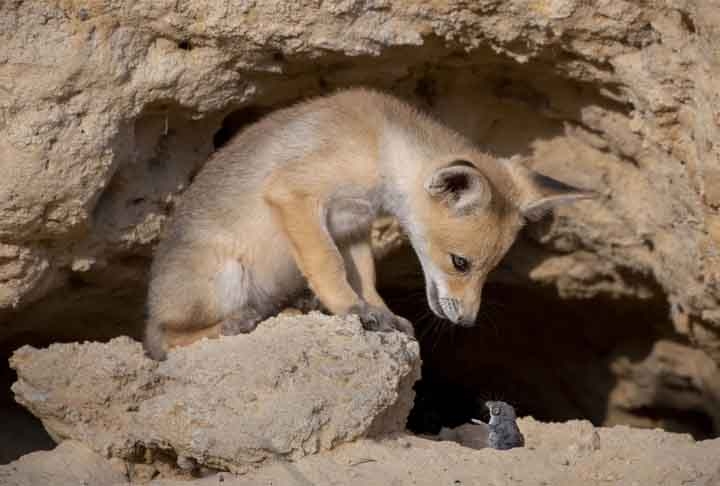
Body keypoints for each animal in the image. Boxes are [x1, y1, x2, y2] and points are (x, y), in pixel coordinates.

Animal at [143, 88, 592, 360]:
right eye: (460, 263)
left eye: (490, 270)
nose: (466, 322)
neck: (380, 145)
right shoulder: (295, 194)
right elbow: (328, 266)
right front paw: (349, 309)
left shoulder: (353, 227)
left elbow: (366, 277)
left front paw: (379, 312)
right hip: (225, 278)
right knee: (166, 341)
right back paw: (234, 324)